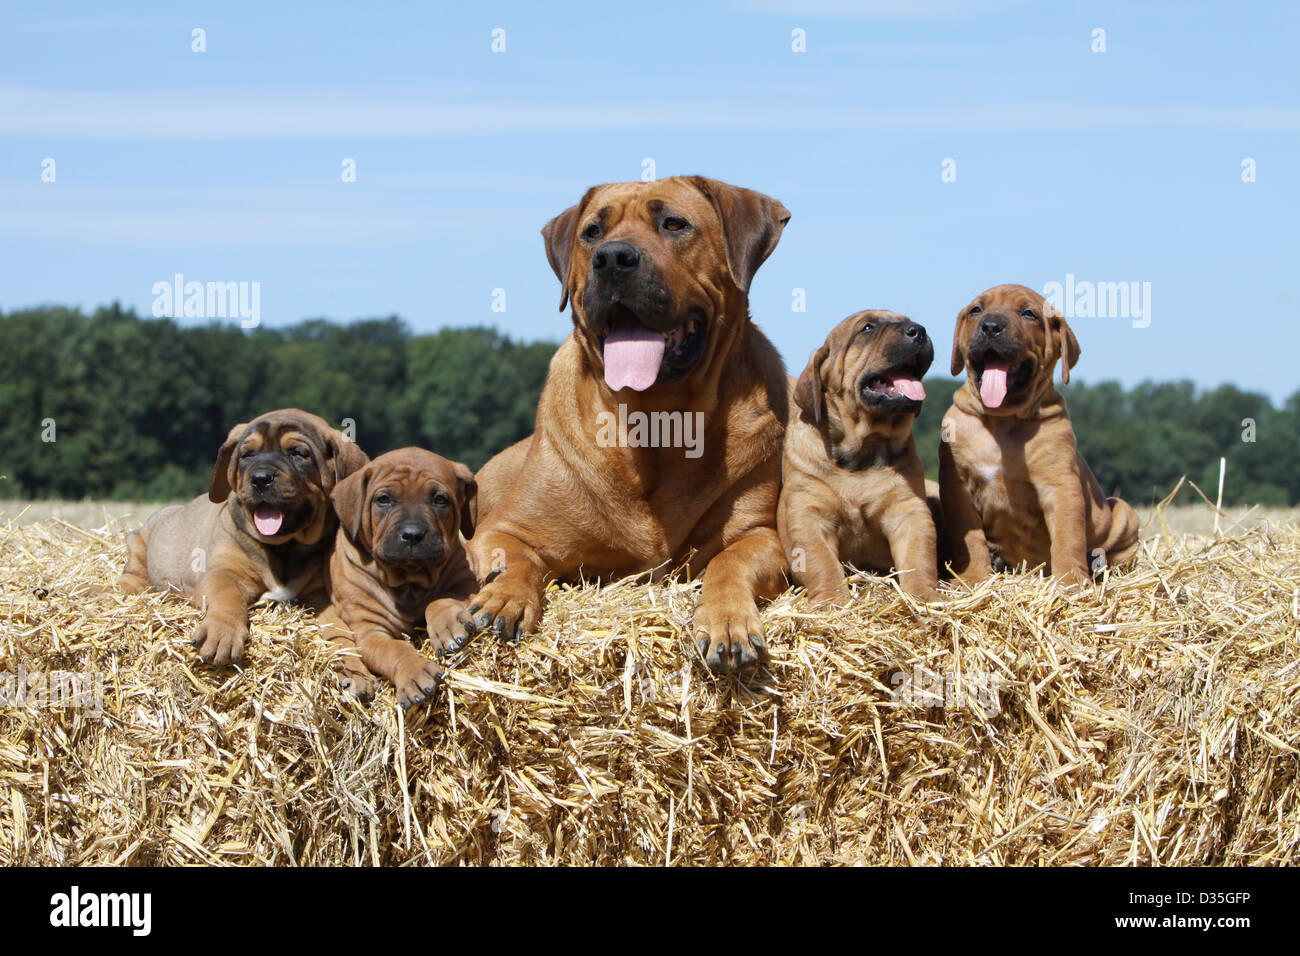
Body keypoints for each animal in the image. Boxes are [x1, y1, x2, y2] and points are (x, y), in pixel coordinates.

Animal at [118, 408, 369, 665]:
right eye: (247, 455)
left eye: (298, 453)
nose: (260, 478)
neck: (284, 548)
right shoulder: (223, 572)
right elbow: (227, 596)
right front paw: (222, 632)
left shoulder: (318, 592)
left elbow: (336, 623)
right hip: (139, 545)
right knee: (132, 577)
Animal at [317, 447, 480, 712]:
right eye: (383, 499)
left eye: (439, 499)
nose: (412, 535)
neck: (408, 581)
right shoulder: (369, 631)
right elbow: (394, 649)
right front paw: (413, 672)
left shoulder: (465, 580)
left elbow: (440, 600)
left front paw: (448, 625)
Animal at [467, 175, 790, 676]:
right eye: (592, 232)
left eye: (674, 224)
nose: (613, 258)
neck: (656, 420)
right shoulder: (505, 529)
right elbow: (515, 560)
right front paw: (503, 597)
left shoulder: (758, 533)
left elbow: (730, 564)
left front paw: (728, 620)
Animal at [774, 310, 941, 600]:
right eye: (867, 328)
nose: (918, 330)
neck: (864, 450)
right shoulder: (809, 513)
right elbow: (822, 563)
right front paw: (831, 600)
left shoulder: (908, 509)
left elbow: (919, 556)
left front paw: (923, 594)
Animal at [935, 283, 1138, 582]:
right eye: (976, 309)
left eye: (1028, 313)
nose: (991, 326)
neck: (1003, 420)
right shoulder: (958, 485)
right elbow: (970, 538)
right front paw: (972, 577)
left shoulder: (1060, 485)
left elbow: (1068, 537)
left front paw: (1070, 581)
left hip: (1123, 512)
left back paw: (1096, 560)